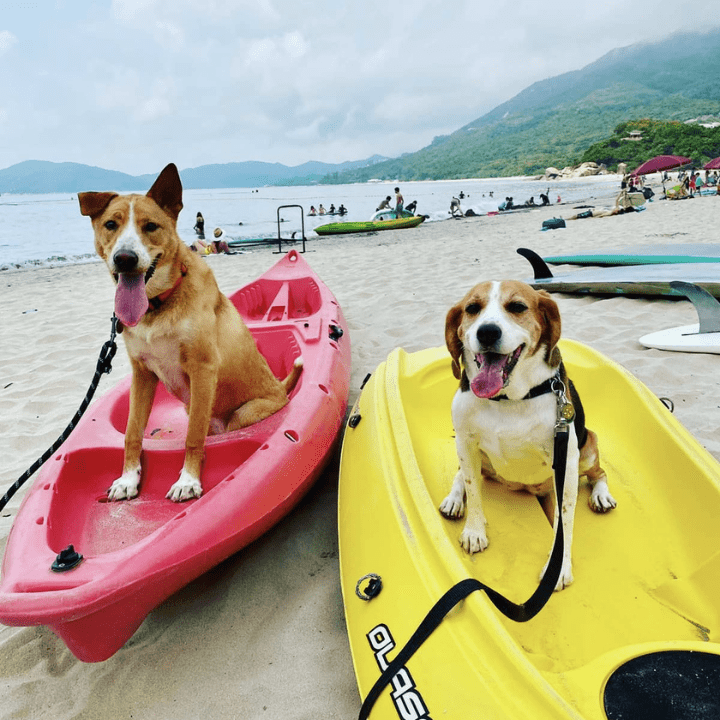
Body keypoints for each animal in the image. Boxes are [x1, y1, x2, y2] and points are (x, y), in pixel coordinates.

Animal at [78, 163, 300, 500]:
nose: (125, 258)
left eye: (151, 226)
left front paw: (188, 480)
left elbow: (193, 437)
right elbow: (131, 432)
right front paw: (128, 478)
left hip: (242, 413)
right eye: (111, 224)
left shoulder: (202, 369)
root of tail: (280, 388)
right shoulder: (142, 374)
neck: (157, 307)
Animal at [442, 282, 616, 592]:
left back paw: (601, 495)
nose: (487, 332)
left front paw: (558, 568)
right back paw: (454, 498)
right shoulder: (466, 443)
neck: (508, 399)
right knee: (462, 475)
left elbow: (564, 520)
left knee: (599, 473)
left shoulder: (566, 463)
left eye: (518, 307)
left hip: (588, 448)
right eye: (472, 308)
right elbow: (473, 490)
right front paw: (474, 530)